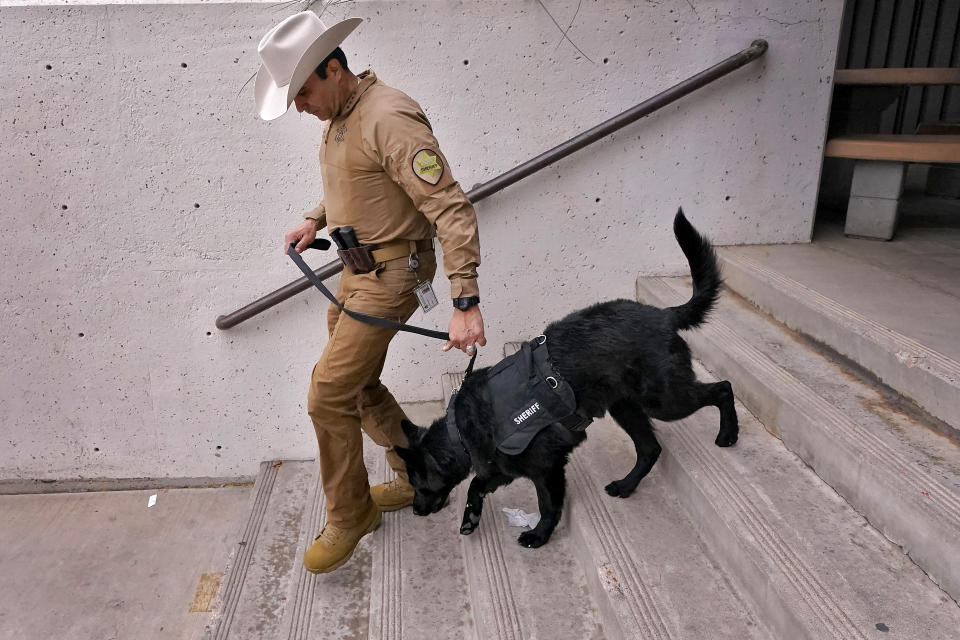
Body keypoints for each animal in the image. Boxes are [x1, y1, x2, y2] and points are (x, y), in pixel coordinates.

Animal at [394, 211, 740, 552]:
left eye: (418, 483)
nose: (416, 511)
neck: (461, 429)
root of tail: (664, 315)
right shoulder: (506, 468)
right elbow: (477, 484)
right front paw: (471, 516)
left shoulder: (546, 467)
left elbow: (547, 505)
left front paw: (539, 534)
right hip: (625, 407)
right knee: (650, 448)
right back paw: (627, 485)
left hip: (664, 401)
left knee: (723, 388)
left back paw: (728, 434)